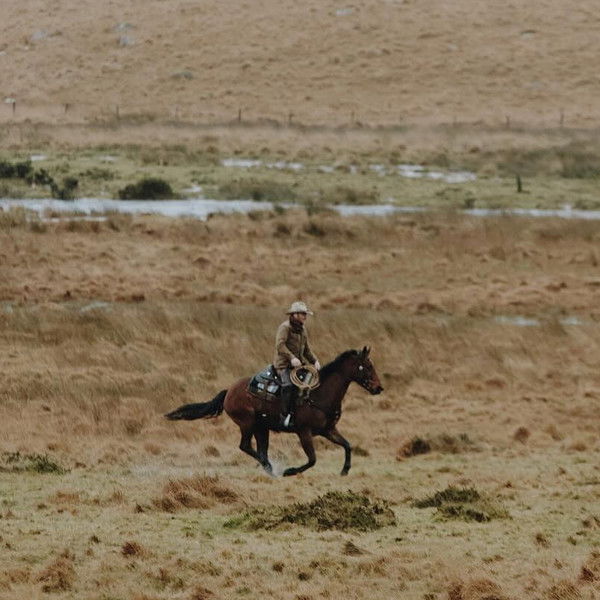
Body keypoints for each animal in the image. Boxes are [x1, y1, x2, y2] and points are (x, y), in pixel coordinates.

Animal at [165, 346, 383, 476]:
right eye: (366, 366)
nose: (379, 388)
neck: (318, 394)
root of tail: (229, 391)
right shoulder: (304, 432)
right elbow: (312, 459)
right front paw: (290, 471)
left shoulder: (328, 430)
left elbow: (347, 445)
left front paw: (345, 470)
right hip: (247, 424)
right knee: (245, 446)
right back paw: (269, 466)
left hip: (262, 428)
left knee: (260, 448)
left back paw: (268, 467)